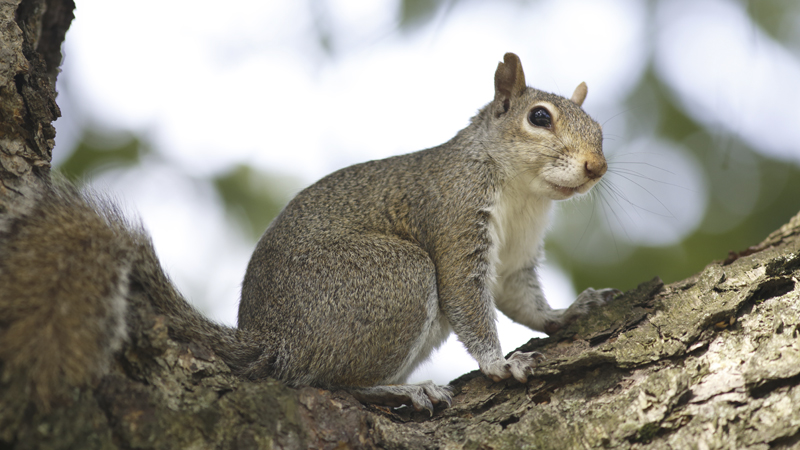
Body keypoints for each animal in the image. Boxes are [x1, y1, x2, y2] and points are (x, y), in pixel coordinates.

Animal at [0, 53, 617, 413]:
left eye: (600, 130)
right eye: (539, 118)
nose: (597, 167)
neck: (522, 193)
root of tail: (271, 339)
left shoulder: (516, 255)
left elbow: (520, 298)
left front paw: (569, 313)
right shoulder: (454, 216)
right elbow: (469, 300)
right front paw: (498, 363)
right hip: (391, 277)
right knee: (320, 380)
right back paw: (402, 388)